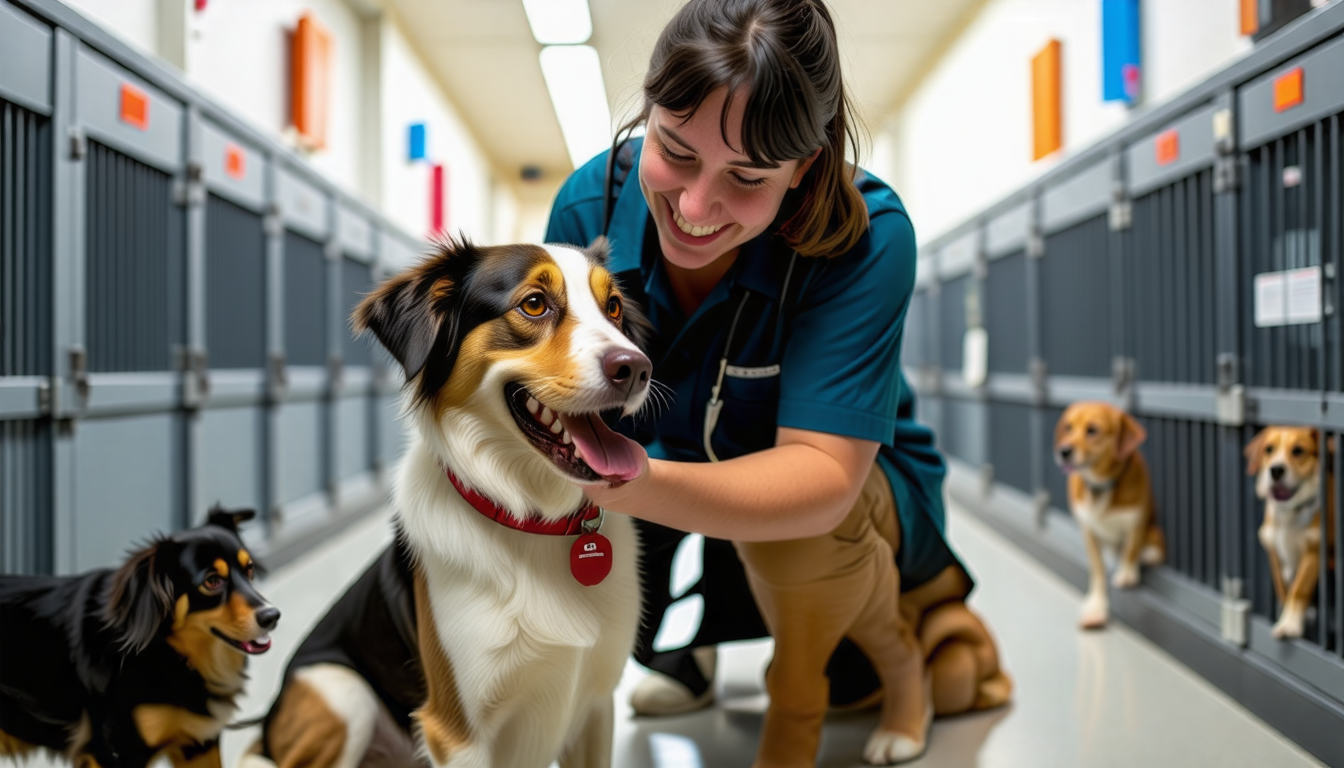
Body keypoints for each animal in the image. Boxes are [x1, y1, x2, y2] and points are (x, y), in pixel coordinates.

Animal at [0, 508, 278, 763]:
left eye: (249, 569)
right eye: (211, 581)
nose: (273, 616)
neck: (167, 651)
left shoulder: (199, 743)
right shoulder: (118, 750)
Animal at [251, 239, 655, 768]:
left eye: (614, 308)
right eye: (534, 304)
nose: (637, 368)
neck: (535, 523)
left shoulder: (594, 706)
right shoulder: (458, 733)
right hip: (341, 692)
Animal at [1048, 403, 1166, 632]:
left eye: (1092, 430)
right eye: (1068, 427)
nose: (1063, 451)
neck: (1100, 486)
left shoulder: (1136, 521)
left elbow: (1131, 549)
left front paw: (1127, 573)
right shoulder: (1088, 532)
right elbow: (1098, 570)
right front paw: (1096, 607)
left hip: (1155, 534)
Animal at [1247, 430, 1333, 640]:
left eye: (1298, 450)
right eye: (1268, 449)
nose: (1276, 470)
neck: (1289, 514)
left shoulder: (1314, 552)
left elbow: (1298, 589)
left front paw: (1290, 625)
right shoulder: (1273, 551)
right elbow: (1283, 589)